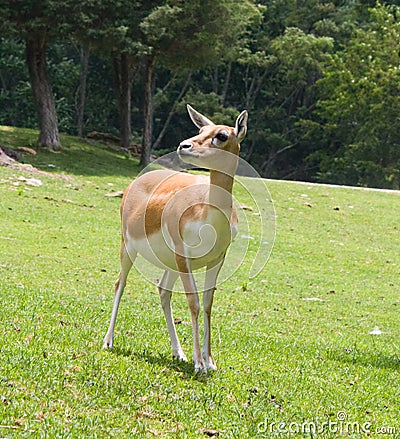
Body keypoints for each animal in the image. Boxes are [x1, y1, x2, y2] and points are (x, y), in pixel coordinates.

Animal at [103, 105, 247, 372]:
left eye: (221, 135)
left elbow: (208, 303)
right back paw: (108, 341)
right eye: (200, 130)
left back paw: (178, 352)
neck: (206, 213)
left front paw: (210, 360)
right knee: (120, 283)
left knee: (163, 291)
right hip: (128, 247)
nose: (183, 145)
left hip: (169, 262)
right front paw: (199, 363)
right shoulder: (184, 254)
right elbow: (194, 302)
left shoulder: (217, 259)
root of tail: (136, 181)